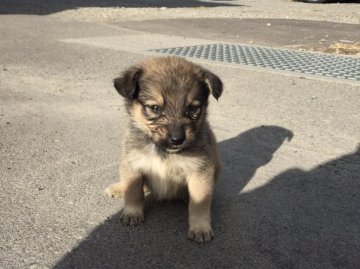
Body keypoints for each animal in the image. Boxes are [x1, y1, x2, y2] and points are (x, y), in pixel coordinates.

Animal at [104, 56, 222, 243]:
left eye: (192, 108)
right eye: (155, 108)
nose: (177, 139)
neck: (164, 152)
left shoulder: (200, 172)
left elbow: (199, 203)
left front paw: (200, 228)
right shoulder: (133, 164)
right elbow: (134, 192)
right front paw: (132, 213)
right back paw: (118, 188)